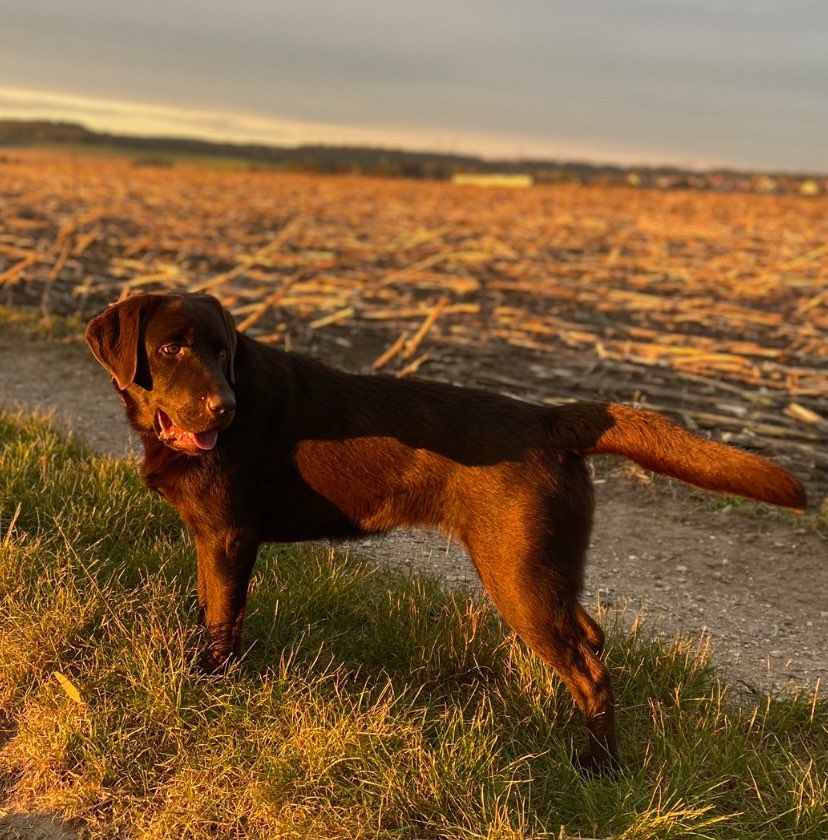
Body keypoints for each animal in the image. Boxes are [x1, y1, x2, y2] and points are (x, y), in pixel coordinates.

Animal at [87, 290, 804, 776]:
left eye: (222, 351)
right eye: (171, 348)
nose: (225, 409)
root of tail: (548, 417)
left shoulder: (229, 537)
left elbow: (222, 619)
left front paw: (211, 683)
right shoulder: (213, 540)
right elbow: (211, 609)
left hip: (517, 575)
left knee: (589, 666)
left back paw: (599, 768)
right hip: (545, 568)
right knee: (591, 638)